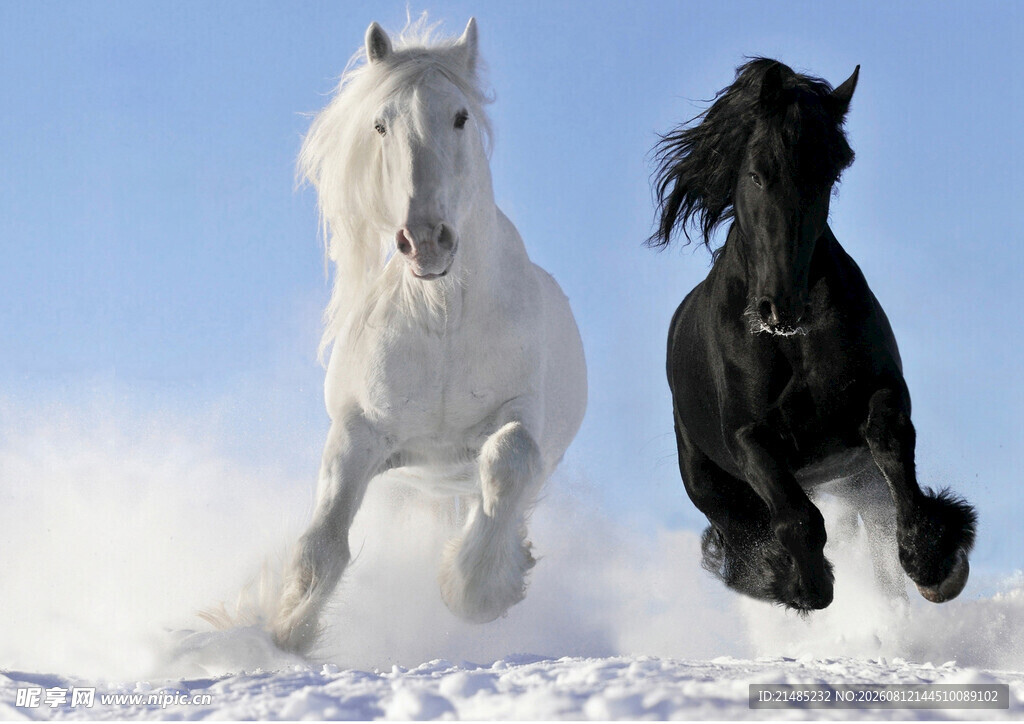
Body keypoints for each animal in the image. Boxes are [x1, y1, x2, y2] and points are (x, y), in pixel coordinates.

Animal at [269, 18, 587, 654]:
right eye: (380, 123)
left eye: (461, 116)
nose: (424, 240)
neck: (441, 319)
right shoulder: (359, 432)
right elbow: (322, 543)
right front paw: (284, 632)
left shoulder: (522, 414)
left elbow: (510, 458)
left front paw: (474, 590)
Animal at [649, 58, 976, 612]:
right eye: (757, 173)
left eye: (827, 175)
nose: (780, 306)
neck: (790, 343)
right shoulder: (748, 438)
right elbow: (795, 518)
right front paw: (800, 583)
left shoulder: (881, 394)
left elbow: (891, 445)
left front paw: (935, 561)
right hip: (711, 485)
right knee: (743, 534)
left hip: (857, 481)